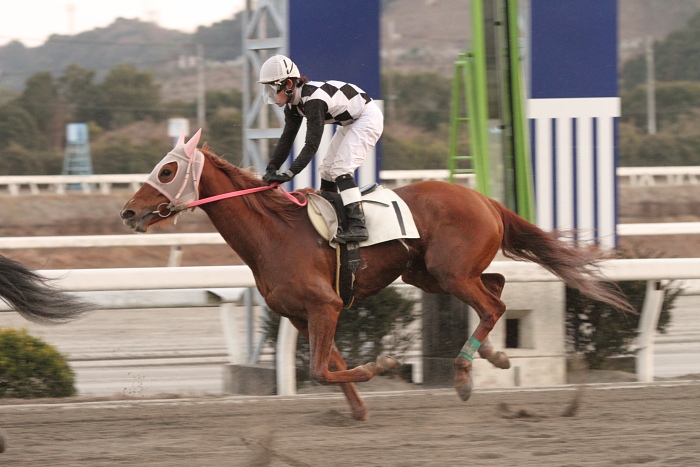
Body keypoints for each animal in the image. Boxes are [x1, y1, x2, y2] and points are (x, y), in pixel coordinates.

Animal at [120, 131, 636, 420]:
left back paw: (464, 373)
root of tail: (485, 198)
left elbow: (321, 369)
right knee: (497, 289)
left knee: (494, 303)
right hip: (427, 275)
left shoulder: (324, 305)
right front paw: (358, 409)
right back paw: (493, 354)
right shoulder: (304, 315)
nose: (127, 211)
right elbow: (331, 365)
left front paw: (382, 367)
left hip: (448, 272)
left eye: (167, 170)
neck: (274, 234)